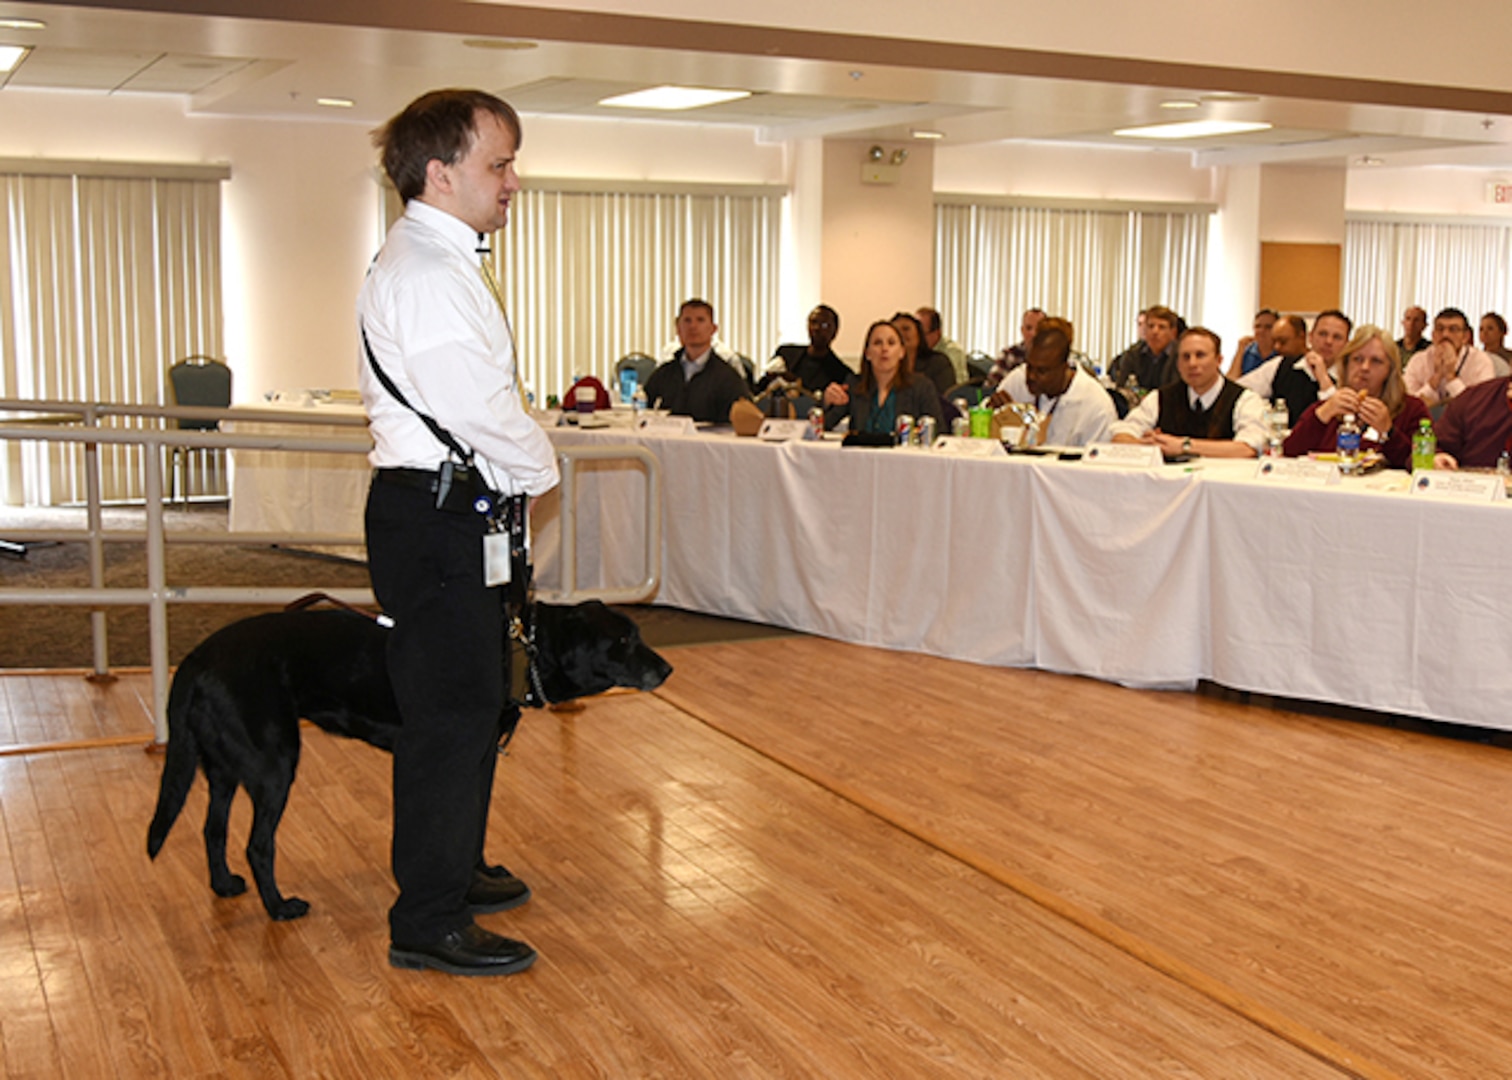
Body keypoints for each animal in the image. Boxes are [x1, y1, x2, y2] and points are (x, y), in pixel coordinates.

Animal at [145, 595, 668, 919]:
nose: (667, 668)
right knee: (258, 845)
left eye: (639, 634)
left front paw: (481, 876)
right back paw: (279, 909)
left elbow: (474, 826)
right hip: (274, 765)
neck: (519, 648)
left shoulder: (481, 760)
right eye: (623, 641)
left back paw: (224, 886)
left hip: (222, 768)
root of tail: (195, 658)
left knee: (212, 830)